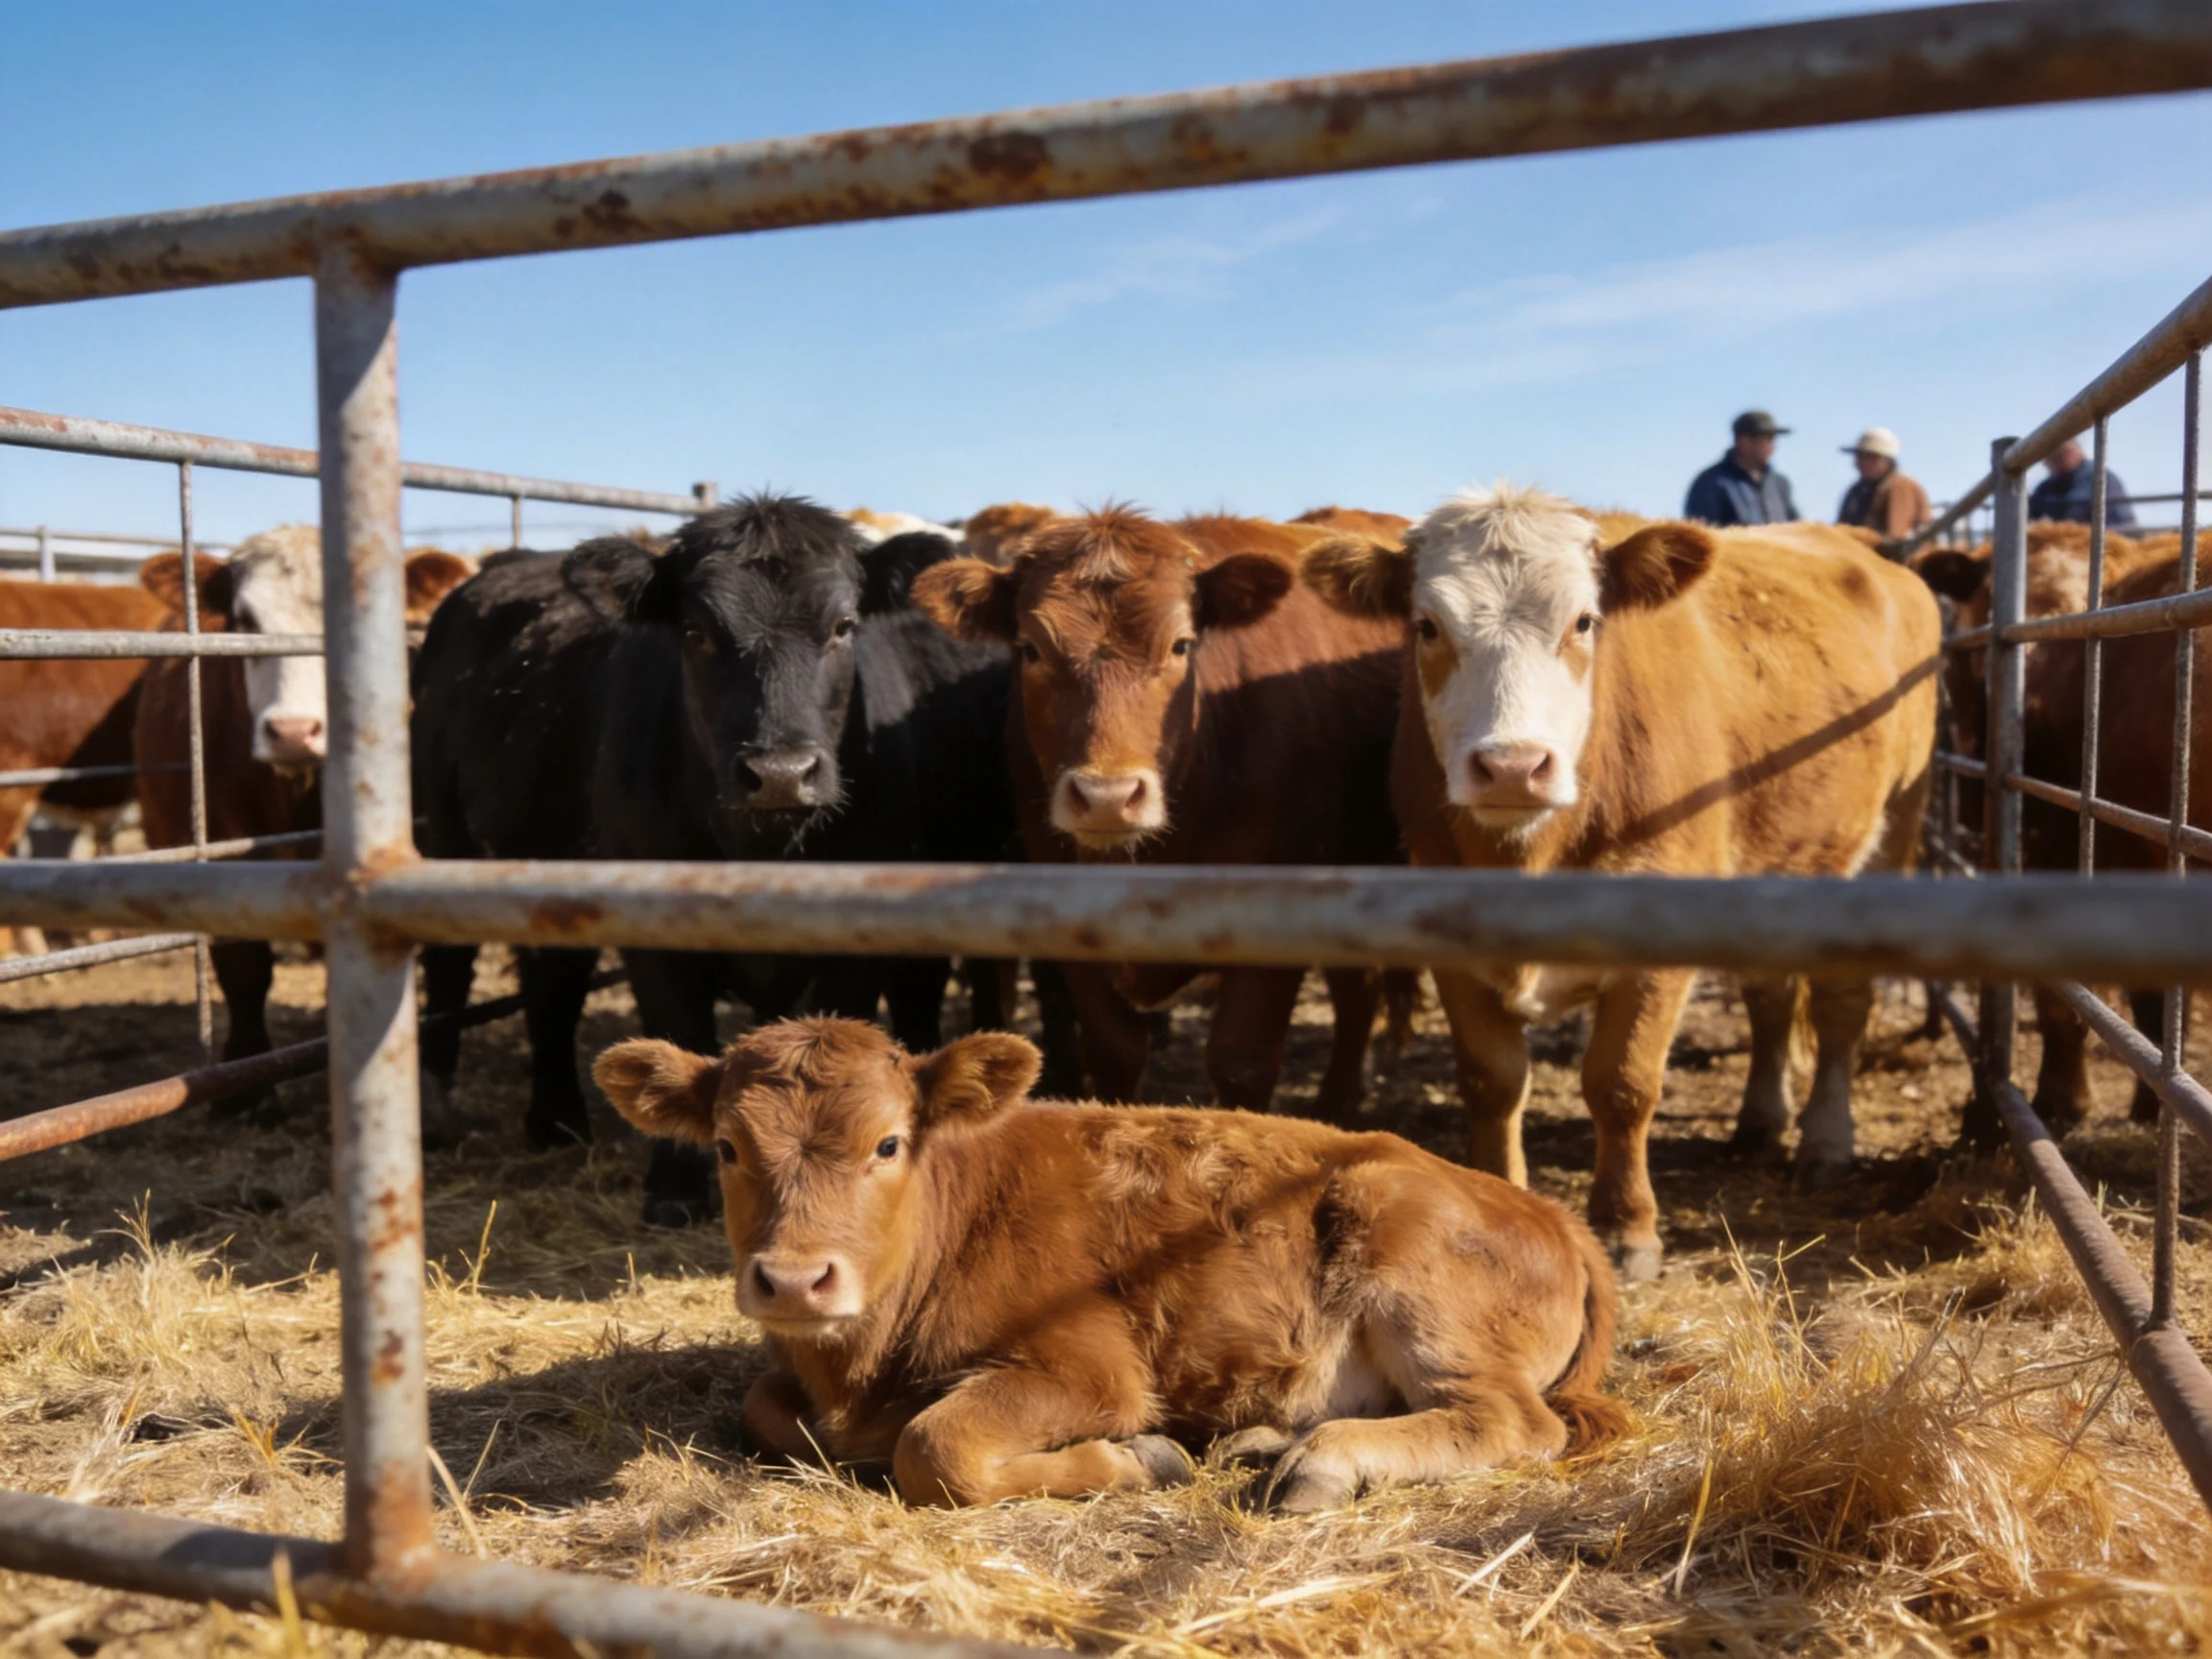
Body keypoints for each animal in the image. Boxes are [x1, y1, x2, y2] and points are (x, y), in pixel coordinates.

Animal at [411, 494, 1016, 1226]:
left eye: (843, 626)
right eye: (696, 631)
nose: (781, 773)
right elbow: (680, 1030)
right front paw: (675, 1189)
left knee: (552, 980)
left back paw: (556, 1121)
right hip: (445, 837)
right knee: (452, 966)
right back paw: (439, 1113)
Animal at [592, 1016, 1623, 1509]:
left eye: (888, 1143)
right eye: (727, 1147)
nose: (798, 1281)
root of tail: (1551, 1213)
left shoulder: (1087, 1368)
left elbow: (936, 1448)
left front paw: (1142, 1460)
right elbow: (771, 1412)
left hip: (1413, 1262)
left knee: (1509, 1421)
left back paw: (1320, 1464)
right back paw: (1262, 1444)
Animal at [1302, 487, 1939, 1278]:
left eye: (1583, 621)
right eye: (1427, 625)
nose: (1512, 767)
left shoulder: (1657, 946)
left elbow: (1621, 1084)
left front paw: (1626, 1226)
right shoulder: (1451, 941)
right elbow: (1491, 1081)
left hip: (1887, 839)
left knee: (1842, 1004)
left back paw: (1825, 1144)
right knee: (1769, 995)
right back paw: (1761, 1121)